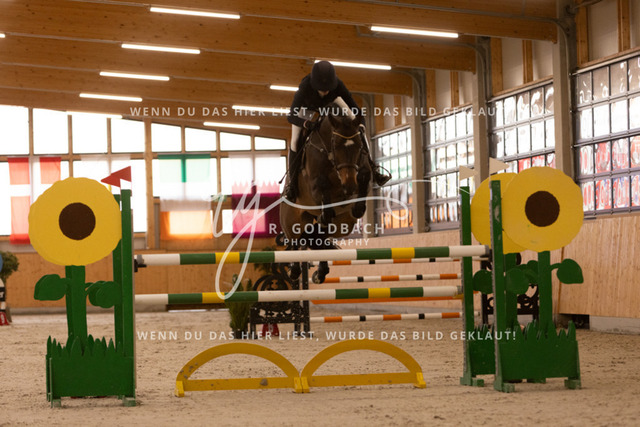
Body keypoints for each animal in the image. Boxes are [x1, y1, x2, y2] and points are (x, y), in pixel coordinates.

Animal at [279, 103, 372, 283]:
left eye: (359, 146)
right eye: (336, 146)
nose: (350, 186)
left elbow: (364, 179)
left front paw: (357, 206)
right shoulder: (315, 187)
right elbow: (323, 192)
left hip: (344, 224)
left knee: (318, 238)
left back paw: (321, 271)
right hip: (292, 220)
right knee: (296, 240)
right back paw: (294, 270)